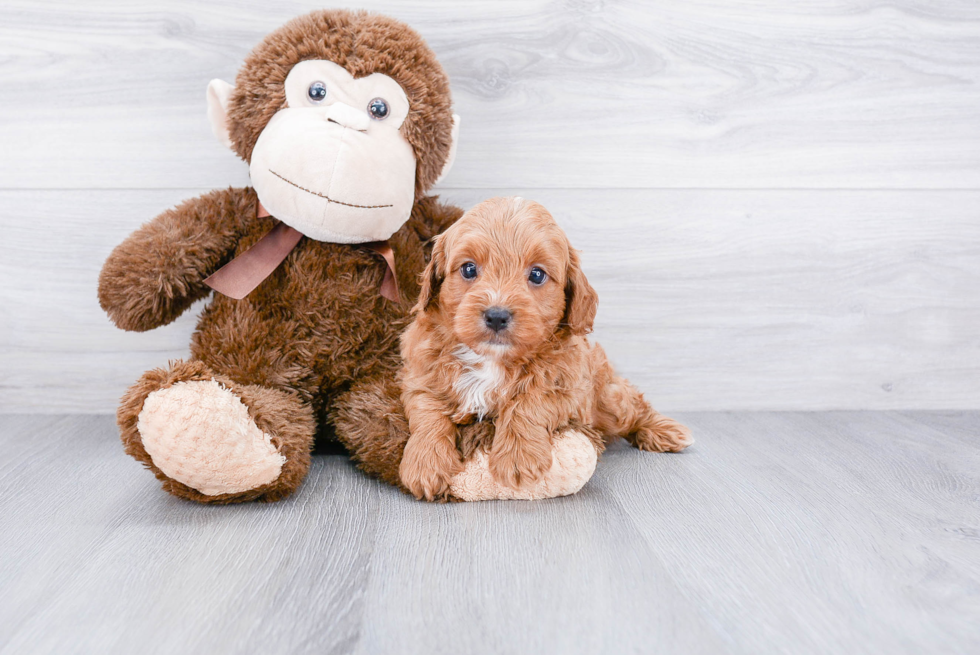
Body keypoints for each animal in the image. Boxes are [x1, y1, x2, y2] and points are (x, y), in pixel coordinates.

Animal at [396, 197, 688, 500]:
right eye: (468, 269)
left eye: (537, 274)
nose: (497, 315)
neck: (492, 359)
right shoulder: (422, 374)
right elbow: (428, 412)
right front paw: (426, 464)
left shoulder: (568, 383)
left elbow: (529, 401)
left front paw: (517, 458)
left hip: (608, 398)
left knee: (634, 408)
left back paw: (664, 431)